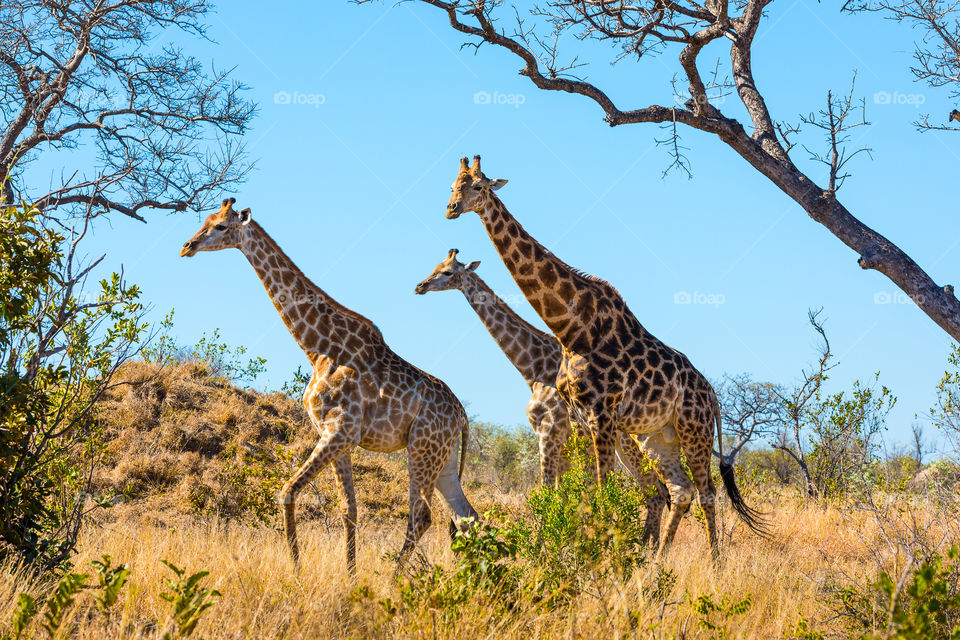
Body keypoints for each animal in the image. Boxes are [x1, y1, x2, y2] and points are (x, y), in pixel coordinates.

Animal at [178, 198, 478, 572]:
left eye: (220, 226)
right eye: (205, 220)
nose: (187, 247)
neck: (317, 348)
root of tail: (462, 416)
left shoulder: (338, 432)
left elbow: (288, 491)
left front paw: (297, 572)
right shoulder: (338, 437)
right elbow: (349, 508)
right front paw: (349, 575)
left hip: (421, 449)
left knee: (422, 516)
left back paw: (395, 579)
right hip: (444, 458)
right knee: (467, 515)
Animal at [412, 251, 668, 544]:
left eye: (447, 272)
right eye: (435, 266)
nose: (420, 286)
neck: (532, 366)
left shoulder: (548, 433)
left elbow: (550, 494)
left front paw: (546, 546)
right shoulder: (561, 442)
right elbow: (566, 495)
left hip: (625, 441)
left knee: (656, 490)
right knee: (658, 490)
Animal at [442, 158, 764, 556]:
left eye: (478, 187)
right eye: (453, 185)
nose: (451, 209)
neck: (572, 329)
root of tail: (714, 396)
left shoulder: (600, 415)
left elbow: (598, 491)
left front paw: (600, 556)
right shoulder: (580, 417)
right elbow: (582, 493)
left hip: (694, 431)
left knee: (705, 491)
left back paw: (714, 561)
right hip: (659, 437)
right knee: (680, 490)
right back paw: (659, 559)